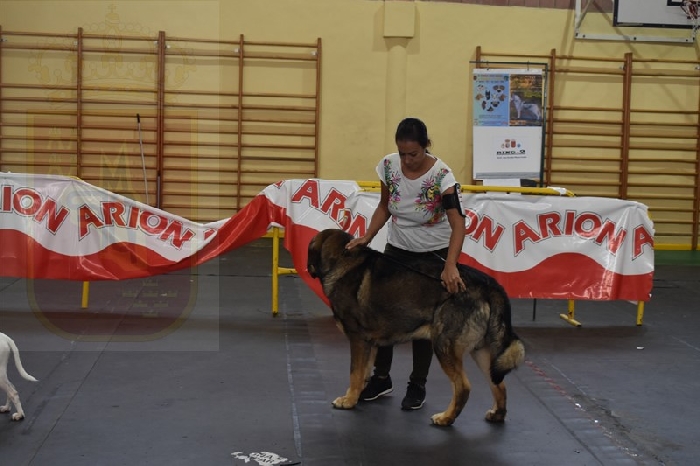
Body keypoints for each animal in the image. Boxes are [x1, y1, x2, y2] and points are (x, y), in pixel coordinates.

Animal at [307, 229, 525, 426]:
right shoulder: (370, 343)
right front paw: (357, 395)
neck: (342, 260)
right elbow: (363, 374)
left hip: (444, 345)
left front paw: (348, 400)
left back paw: (446, 418)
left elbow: (354, 373)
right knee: (498, 384)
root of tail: (489, 285)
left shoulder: (357, 339)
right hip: (481, 351)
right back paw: (497, 415)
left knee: (463, 387)